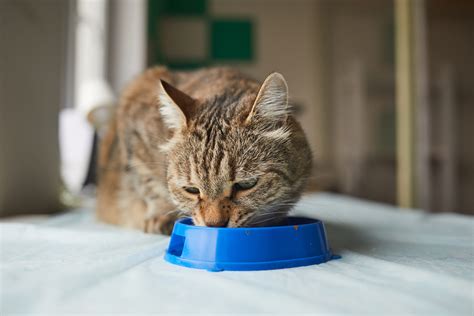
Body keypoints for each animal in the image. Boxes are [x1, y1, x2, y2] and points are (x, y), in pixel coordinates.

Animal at [96, 66, 312, 235]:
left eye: (246, 184)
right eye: (191, 189)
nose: (214, 224)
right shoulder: (133, 124)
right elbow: (148, 182)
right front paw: (162, 213)